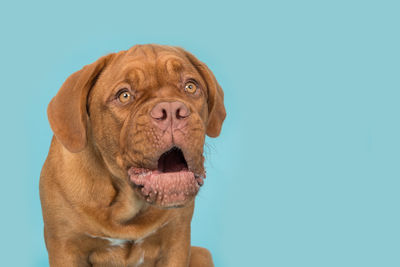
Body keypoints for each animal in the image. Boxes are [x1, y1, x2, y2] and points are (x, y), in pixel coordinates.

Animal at [39, 43, 225, 266]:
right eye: (124, 95)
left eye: (190, 86)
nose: (171, 110)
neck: (126, 207)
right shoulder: (65, 247)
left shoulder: (176, 241)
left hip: (201, 254)